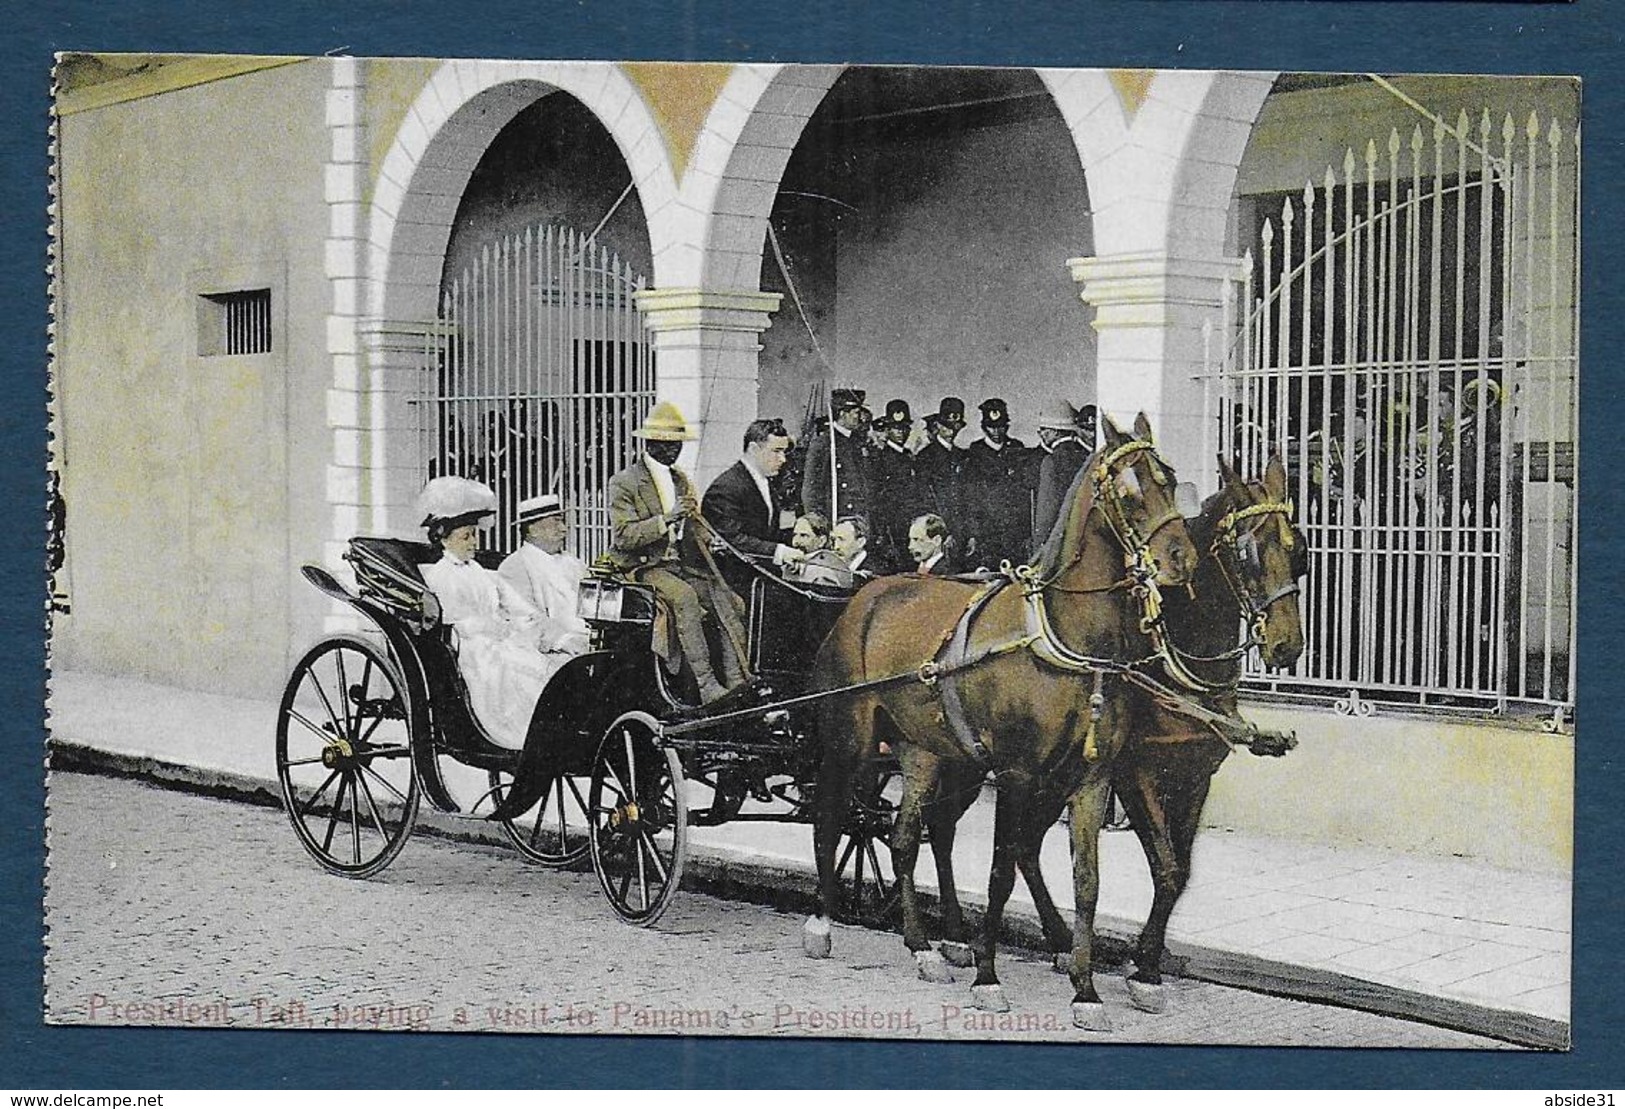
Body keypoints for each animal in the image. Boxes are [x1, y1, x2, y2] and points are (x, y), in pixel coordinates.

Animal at [806, 414, 1202, 1027]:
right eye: (1130, 490)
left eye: (1170, 478)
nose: (1182, 558)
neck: (1063, 638)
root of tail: (868, 593)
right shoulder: (1016, 774)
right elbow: (1000, 873)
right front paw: (988, 977)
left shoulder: (1093, 779)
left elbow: (1086, 881)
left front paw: (1086, 988)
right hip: (851, 741)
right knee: (831, 819)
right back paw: (823, 923)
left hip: (925, 752)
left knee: (904, 837)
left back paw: (923, 945)